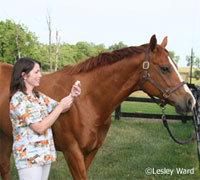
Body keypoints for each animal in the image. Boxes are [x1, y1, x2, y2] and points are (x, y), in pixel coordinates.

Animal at [0, 34, 196, 179]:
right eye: (165, 68)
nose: (190, 101)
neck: (87, 100)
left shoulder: (91, 151)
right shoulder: (73, 152)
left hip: (7, 136)